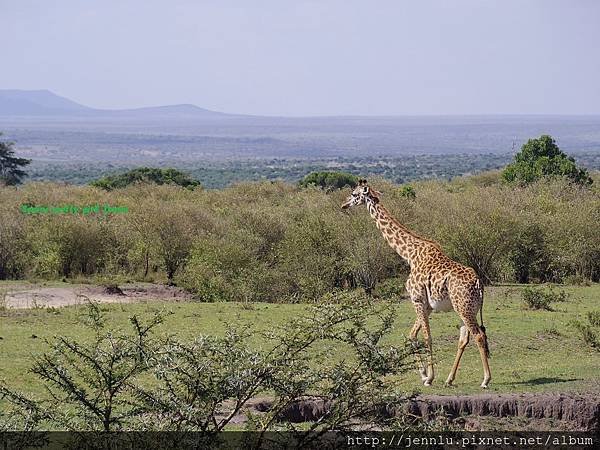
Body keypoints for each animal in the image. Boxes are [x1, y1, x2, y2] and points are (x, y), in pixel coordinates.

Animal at [342, 178, 492, 386]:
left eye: (354, 194)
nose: (343, 205)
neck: (409, 255)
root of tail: (479, 283)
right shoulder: (426, 305)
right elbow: (412, 335)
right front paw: (422, 374)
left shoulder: (417, 299)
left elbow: (426, 337)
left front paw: (429, 377)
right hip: (466, 308)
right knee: (465, 338)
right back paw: (449, 379)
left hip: (464, 308)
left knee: (478, 335)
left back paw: (485, 379)